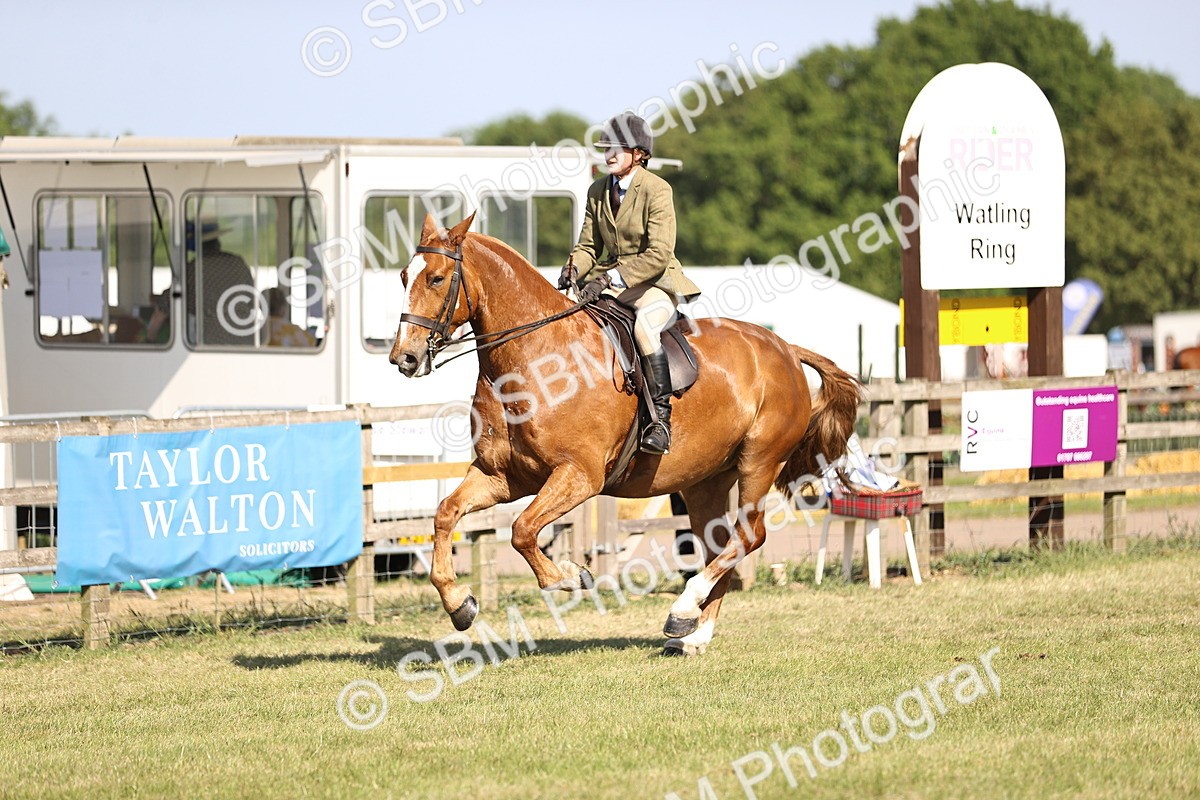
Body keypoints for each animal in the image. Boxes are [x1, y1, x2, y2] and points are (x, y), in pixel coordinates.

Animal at [389, 212, 861, 655]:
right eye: (404, 277)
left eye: (436, 278)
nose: (403, 359)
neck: (534, 360)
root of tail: (785, 349)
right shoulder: (503, 476)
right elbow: (446, 514)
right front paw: (459, 605)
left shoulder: (579, 475)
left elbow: (522, 530)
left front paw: (570, 577)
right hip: (705, 481)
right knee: (718, 544)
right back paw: (692, 633)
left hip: (759, 461)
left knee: (748, 536)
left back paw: (682, 608)